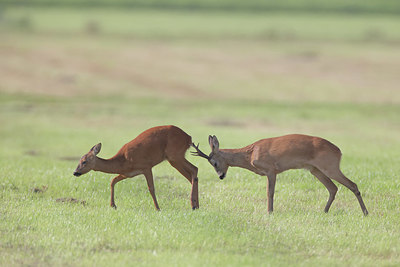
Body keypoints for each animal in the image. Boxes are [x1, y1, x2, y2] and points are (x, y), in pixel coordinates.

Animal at [72, 125, 200, 211]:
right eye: (79, 160)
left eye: (84, 161)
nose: (75, 172)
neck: (123, 161)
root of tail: (188, 138)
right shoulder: (127, 174)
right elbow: (113, 180)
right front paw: (113, 205)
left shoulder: (146, 167)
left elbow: (151, 188)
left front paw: (157, 208)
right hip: (174, 159)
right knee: (192, 176)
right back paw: (196, 205)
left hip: (175, 156)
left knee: (195, 169)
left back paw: (193, 205)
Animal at [192, 135, 370, 217]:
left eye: (214, 163)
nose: (221, 176)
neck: (250, 154)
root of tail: (339, 151)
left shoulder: (271, 170)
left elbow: (269, 193)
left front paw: (269, 212)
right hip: (315, 170)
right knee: (333, 188)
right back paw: (324, 211)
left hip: (330, 167)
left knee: (352, 185)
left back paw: (366, 212)